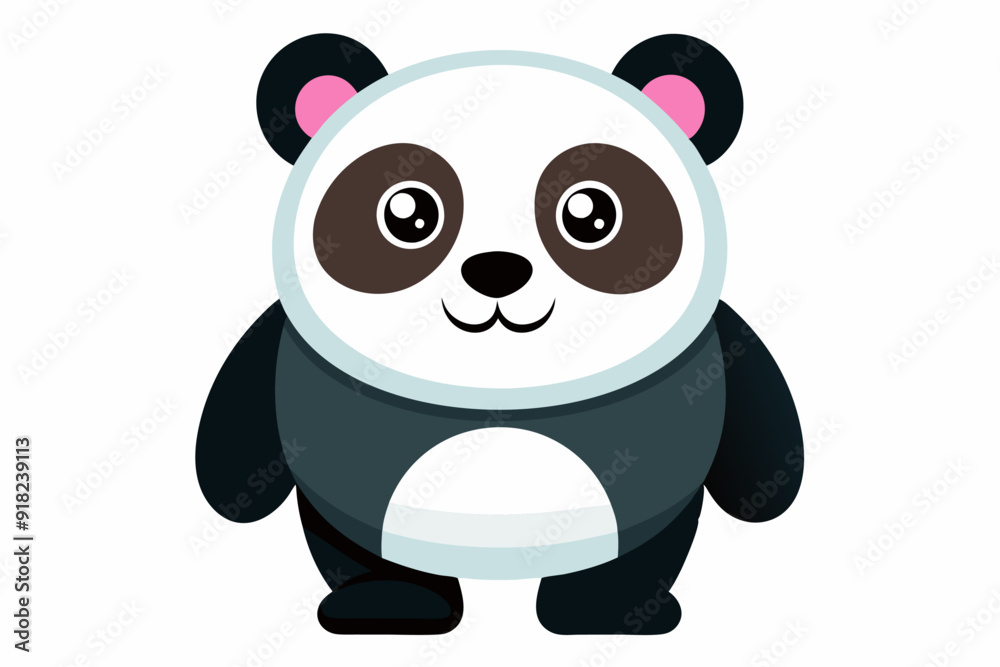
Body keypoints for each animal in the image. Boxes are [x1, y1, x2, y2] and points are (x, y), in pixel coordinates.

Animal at [196, 33, 803, 636]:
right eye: (407, 213)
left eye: (591, 214)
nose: (496, 270)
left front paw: (769, 494)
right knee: (360, 551)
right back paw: (391, 603)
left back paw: (605, 611)